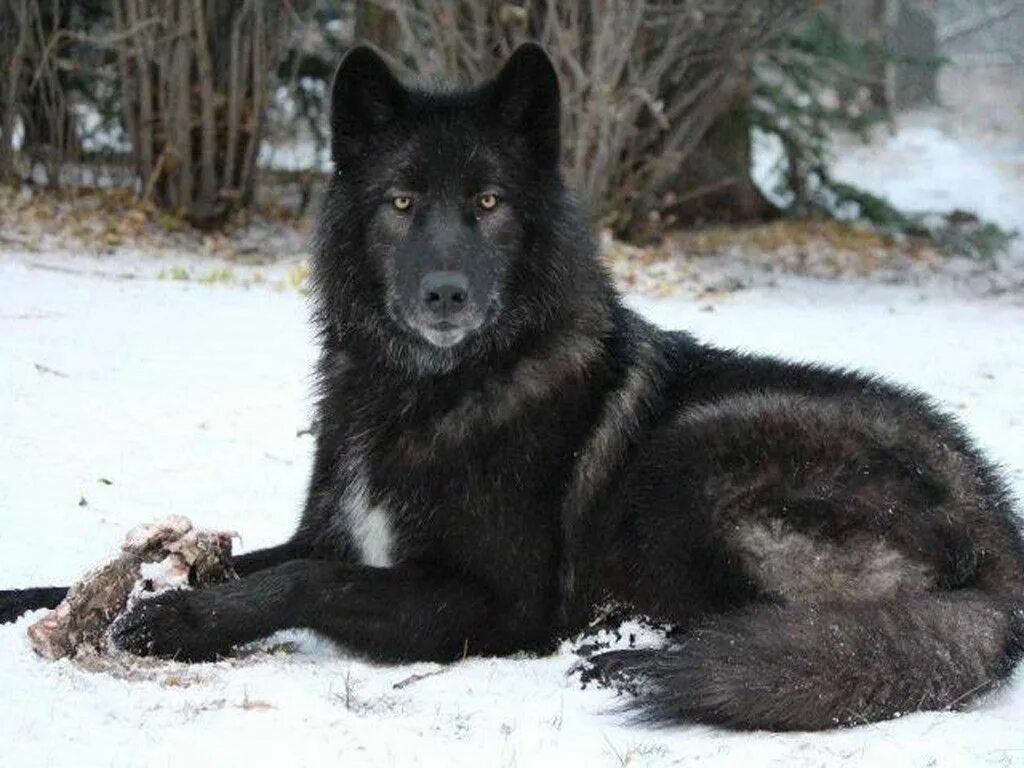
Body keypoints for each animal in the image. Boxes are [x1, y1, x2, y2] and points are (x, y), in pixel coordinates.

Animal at [2, 43, 1024, 733]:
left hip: (699, 452)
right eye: (403, 202)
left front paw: (176, 617)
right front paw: (45, 598)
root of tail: (998, 532)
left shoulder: (492, 603)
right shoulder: (330, 530)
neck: (429, 394)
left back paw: (634, 663)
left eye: (489, 203)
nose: (446, 292)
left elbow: (306, 579)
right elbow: (260, 560)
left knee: (779, 634)